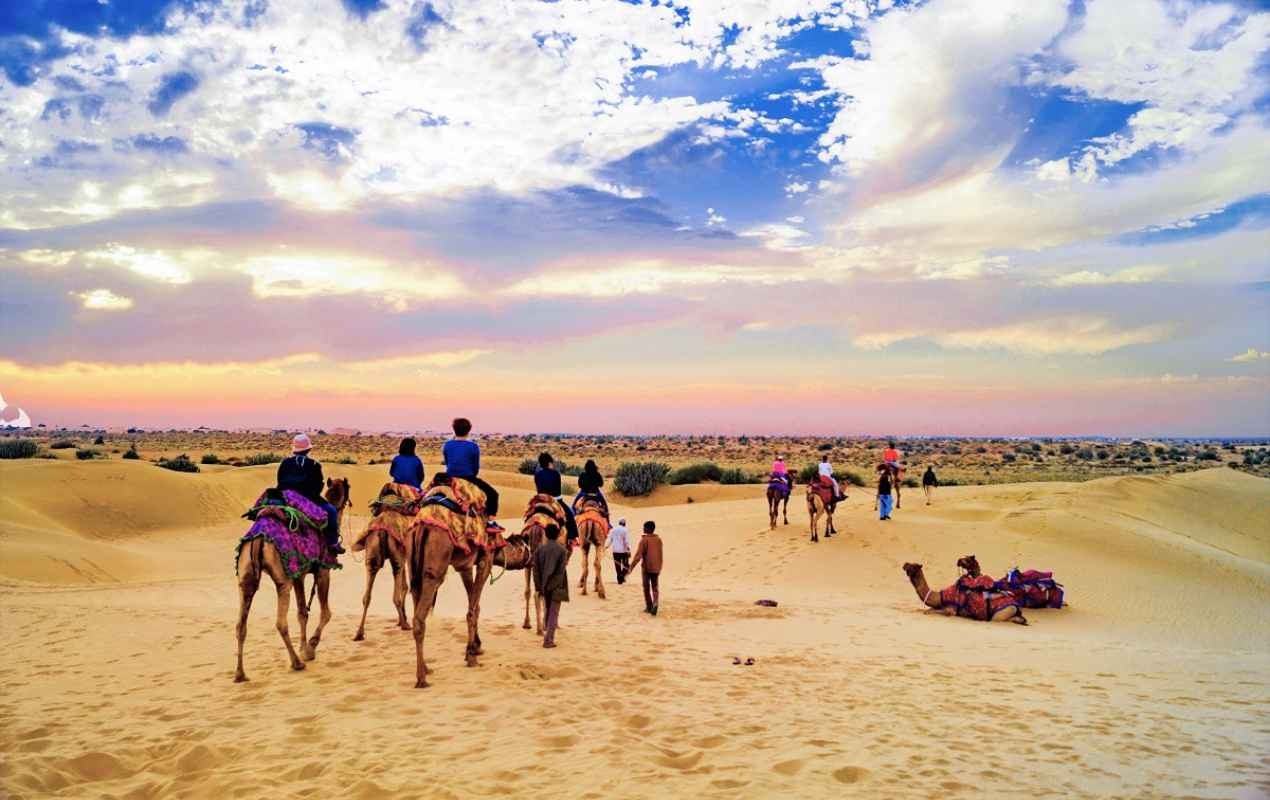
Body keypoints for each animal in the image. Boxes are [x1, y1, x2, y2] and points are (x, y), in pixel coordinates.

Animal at [233, 480, 347, 685]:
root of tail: (259, 539)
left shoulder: (297, 575)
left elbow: (302, 612)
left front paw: (304, 648)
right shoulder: (323, 571)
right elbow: (326, 613)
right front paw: (310, 647)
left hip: (245, 577)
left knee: (240, 625)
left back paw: (240, 674)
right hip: (282, 580)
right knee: (280, 623)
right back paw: (296, 663)